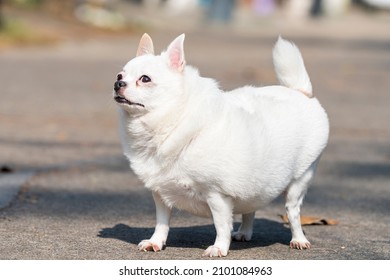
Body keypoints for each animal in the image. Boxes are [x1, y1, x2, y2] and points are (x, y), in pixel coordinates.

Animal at [112, 34, 330, 258]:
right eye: (120, 74)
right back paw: (244, 232)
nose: (118, 83)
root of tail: (300, 92)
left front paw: (219, 247)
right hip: (254, 182)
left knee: (293, 212)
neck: (173, 120)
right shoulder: (161, 194)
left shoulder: (217, 195)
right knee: (250, 209)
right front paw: (156, 242)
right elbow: (162, 222)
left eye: (145, 79)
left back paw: (298, 239)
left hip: (300, 181)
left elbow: (221, 225)